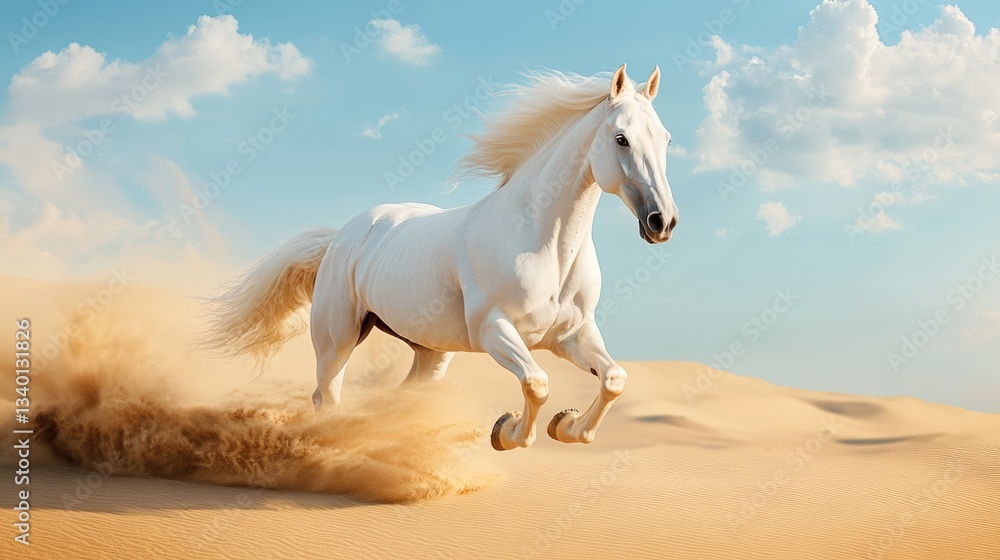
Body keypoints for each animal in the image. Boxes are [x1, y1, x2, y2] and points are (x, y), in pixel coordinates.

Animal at [206, 64, 679, 451]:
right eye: (621, 138)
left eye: (666, 139)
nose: (663, 222)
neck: (546, 246)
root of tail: (341, 236)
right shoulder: (494, 330)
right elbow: (537, 383)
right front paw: (507, 431)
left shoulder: (572, 335)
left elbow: (614, 379)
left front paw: (567, 426)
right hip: (337, 340)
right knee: (328, 396)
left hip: (431, 353)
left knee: (396, 396)